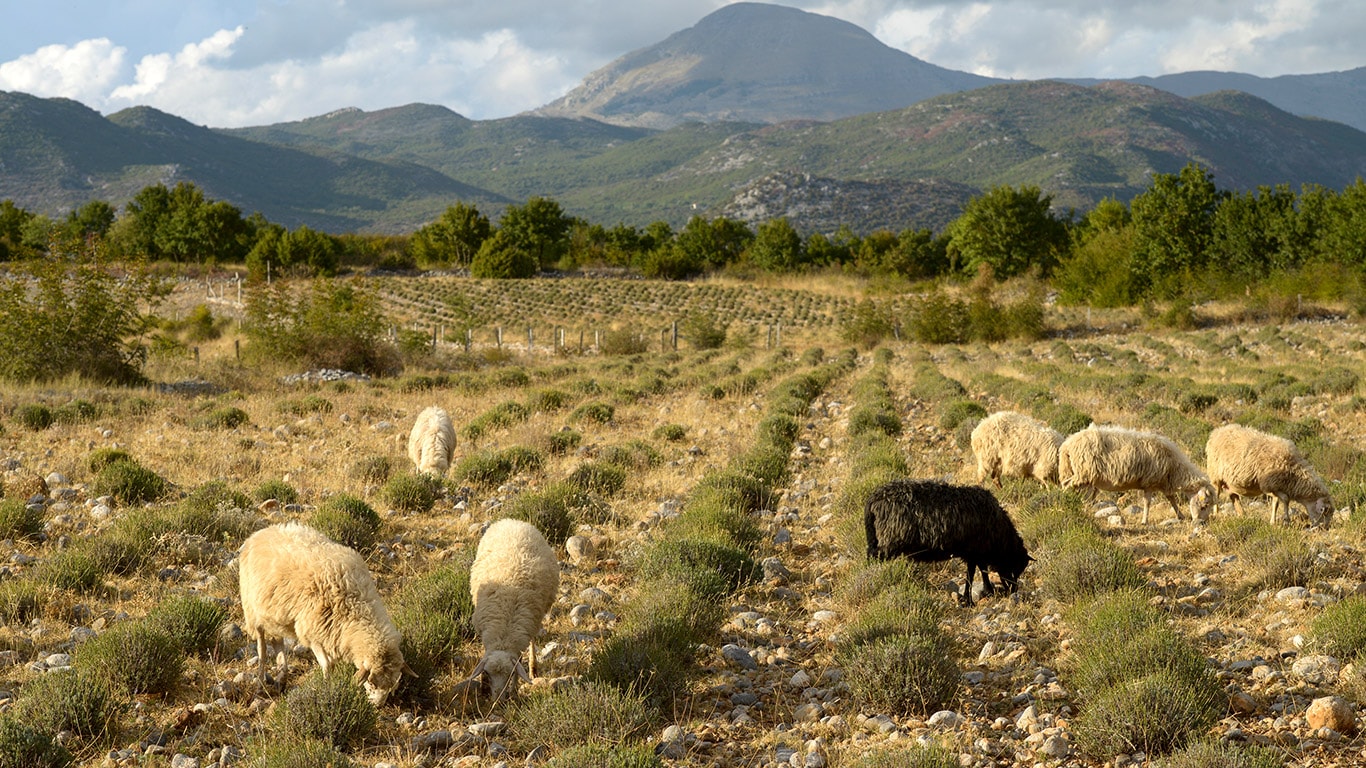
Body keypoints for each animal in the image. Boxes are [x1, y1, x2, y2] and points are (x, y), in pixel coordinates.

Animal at [239, 516, 409, 705]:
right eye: (372, 683)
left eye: (392, 686)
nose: (377, 706)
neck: (355, 602)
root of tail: (259, 533)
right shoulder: (312, 633)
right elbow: (327, 665)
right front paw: (326, 689)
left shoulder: (332, 635)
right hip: (252, 611)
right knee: (261, 649)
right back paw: (260, 684)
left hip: (274, 616)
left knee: (277, 642)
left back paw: (281, 678)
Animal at [464, 513, 560, 699]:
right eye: (487, 674)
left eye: (510, 675)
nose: (498, 700)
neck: (504, 634)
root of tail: (513, 521)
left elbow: (519, 661)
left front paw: (514, 691)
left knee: (532, 642)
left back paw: (533, 668)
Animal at [868, 475, 1027, 601]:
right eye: (1015, 565)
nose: (1013, 590)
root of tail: (874, 498)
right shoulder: (975, 551)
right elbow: (972, 575)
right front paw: (970, 599)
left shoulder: (976, 553)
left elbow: (979, 571)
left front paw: (985, 592)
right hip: (889, 542)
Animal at [1054, 420, 1218, 522]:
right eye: (1204, 505)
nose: (1201, 522)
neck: (1174, 468)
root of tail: (1067, 444)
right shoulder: (1149, 482)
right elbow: (1147, 503)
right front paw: (1145, 521)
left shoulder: (1163, 483)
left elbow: (1172, 499)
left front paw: (1180, 515)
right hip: (1082, 473)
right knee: (1066, 485)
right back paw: (1065, 503)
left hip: (1083, 475)